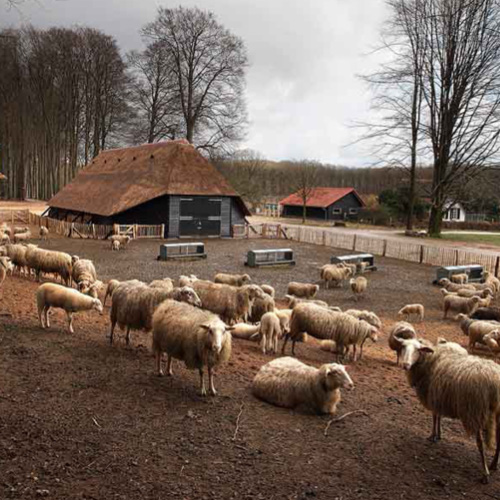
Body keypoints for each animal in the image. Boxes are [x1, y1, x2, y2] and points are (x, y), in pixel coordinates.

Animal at [400, 338, 500, 482]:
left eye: (418, 350)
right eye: (403, 347)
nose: (405, 365)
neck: (431, 361)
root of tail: (495, 381)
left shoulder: (433, 395)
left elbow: (435, 416)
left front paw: (433, 436)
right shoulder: (439, 396)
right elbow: (438, 416)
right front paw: (438, 434)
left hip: (475, 411)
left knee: (480, 443)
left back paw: (485, 473)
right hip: (497, 412)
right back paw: (493, 464)